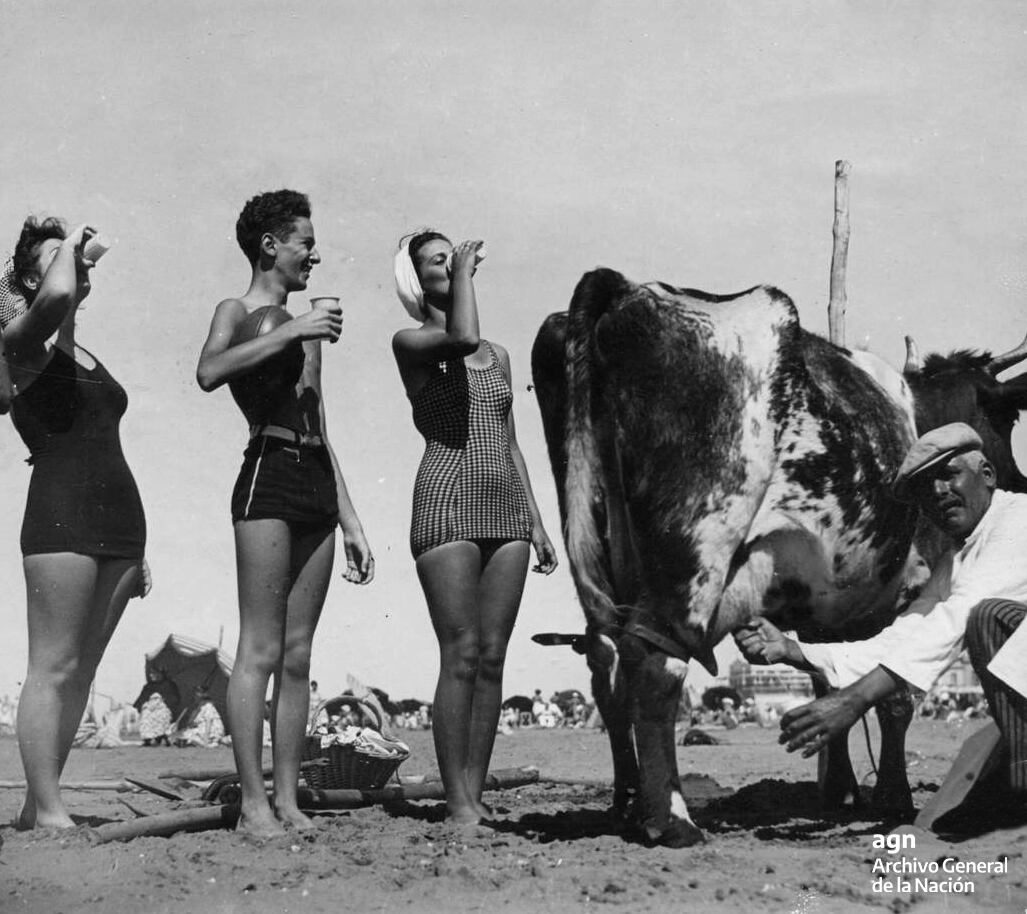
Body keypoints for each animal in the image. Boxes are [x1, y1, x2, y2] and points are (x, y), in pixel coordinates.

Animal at [531, 267, 1027, 848]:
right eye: (1007, 414)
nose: (1015, 480)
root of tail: (625, 288)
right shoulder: (908, 588)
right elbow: (895, 696)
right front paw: (891, 799)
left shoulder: (825, 601)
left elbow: (826, 675)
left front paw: (840, 792)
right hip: (697, 552)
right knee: (653, 664)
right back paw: (673, 821)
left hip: (605, 559)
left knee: (608, 668)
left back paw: (629, 807)